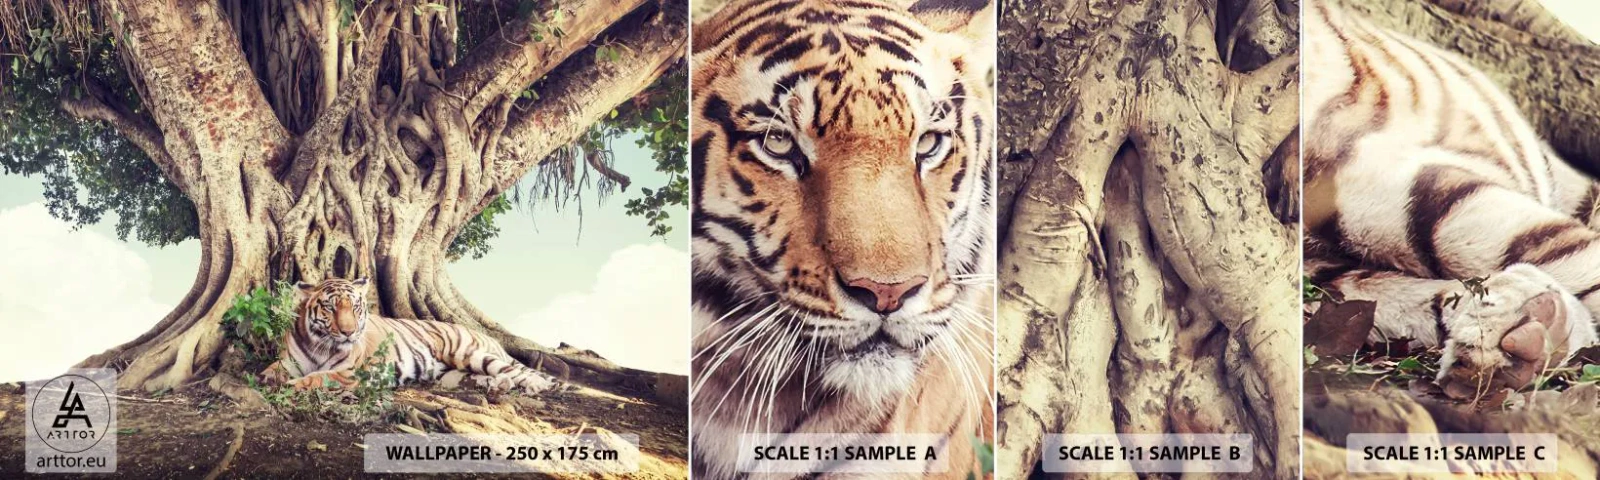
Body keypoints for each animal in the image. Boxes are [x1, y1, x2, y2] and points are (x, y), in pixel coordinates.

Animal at [259, 277, 558, 395]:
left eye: (354, 307)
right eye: (330, 307)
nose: (348, 332)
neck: (319, 345)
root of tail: (490, 336)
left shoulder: (349, 372)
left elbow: (318, 378)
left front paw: (292, 385)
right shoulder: (288, 362)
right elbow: (273, 370)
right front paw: (265, 379)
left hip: (468, 352)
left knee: (516, 370)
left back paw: (535, 386)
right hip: (457, 370)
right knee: (494, 375)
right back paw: (496, 386)